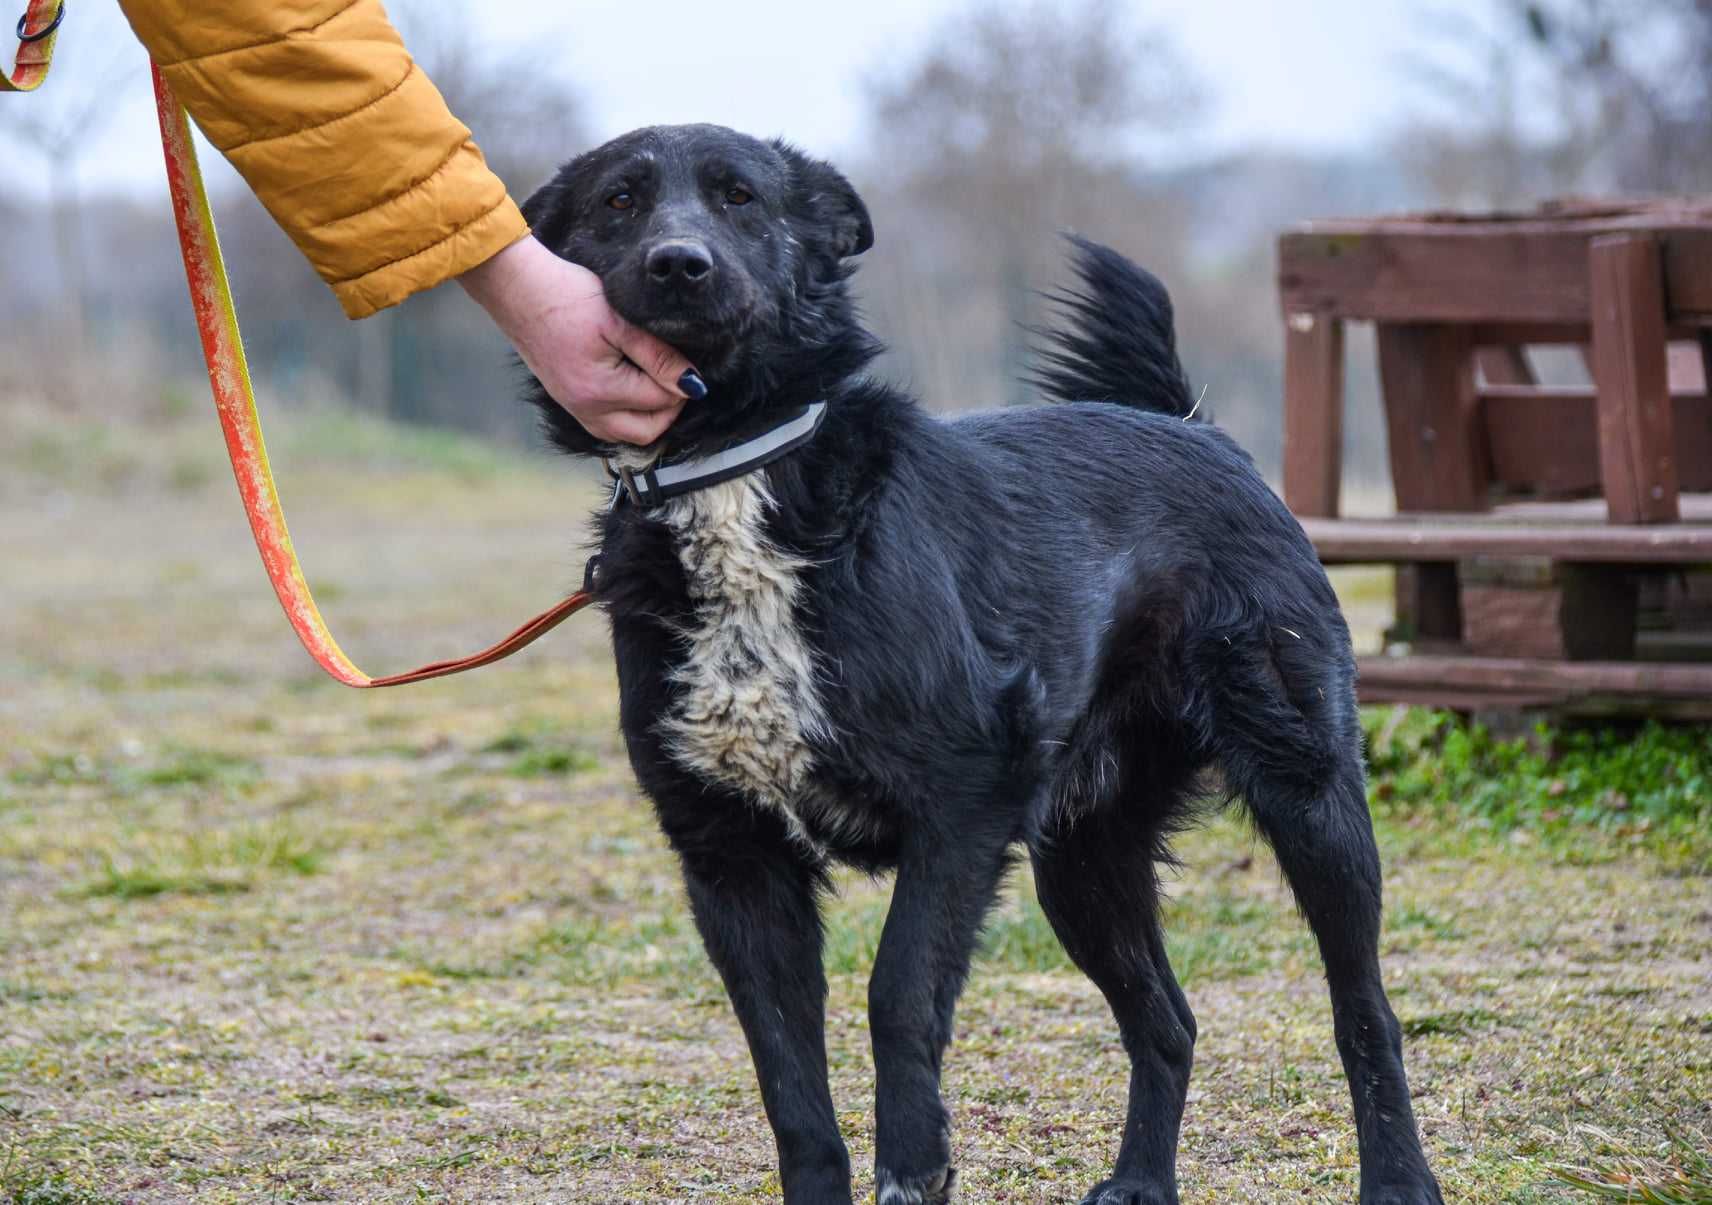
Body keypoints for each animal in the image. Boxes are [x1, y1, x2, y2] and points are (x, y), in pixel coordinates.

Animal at [520, 126, 1444, 1198]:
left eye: (740, 197)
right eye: (620, 202)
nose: (679, 263)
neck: (735, 471)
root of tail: (1194, 427)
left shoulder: (961, 805)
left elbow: (897, 993)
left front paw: (916, 1161)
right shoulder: (730, 856)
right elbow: (787, 1076)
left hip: (1308, 791)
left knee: (1364, 1009)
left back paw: (1398, 1176)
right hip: (1085, 858)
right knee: (1168, 1022)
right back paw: (1141, 1178)